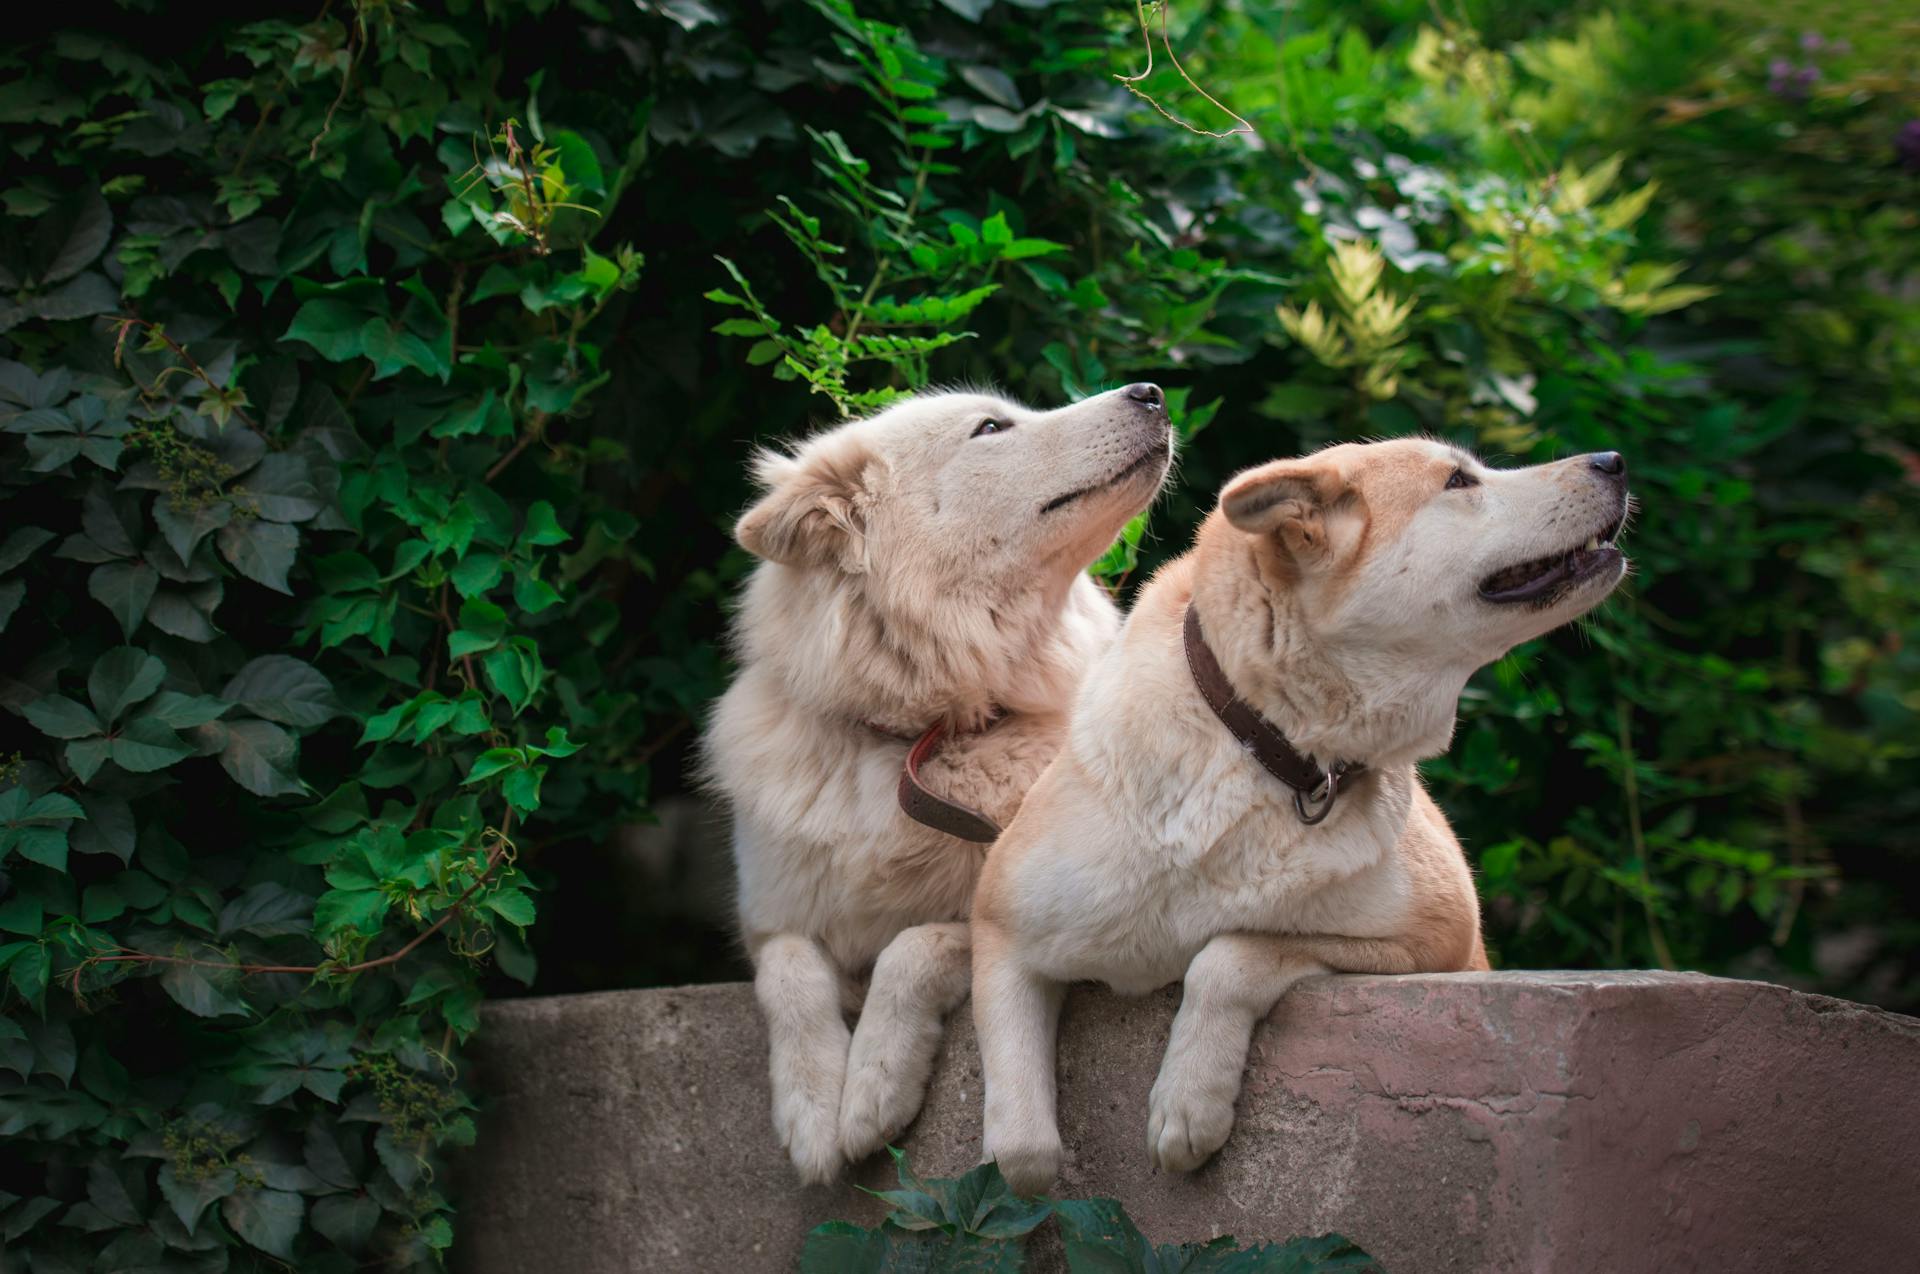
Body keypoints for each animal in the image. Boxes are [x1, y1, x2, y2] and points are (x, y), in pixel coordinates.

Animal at [702, 379, 1167, 1181]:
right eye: (991, 428)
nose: (1152, 391)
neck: (924, 734)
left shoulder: (1011, 918)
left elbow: (914, 948)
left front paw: (871, 1091)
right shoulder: (770, 921)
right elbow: (790, 976)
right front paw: (811, 1110)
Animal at [975, 437, 1620, 1197]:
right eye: (1460, 481)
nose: (1613, 461)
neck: (1266, 745)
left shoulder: (1439, 939)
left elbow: (1231, 953)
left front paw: (1188, 1105)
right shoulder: (1001, 927)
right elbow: (1023, 1155)